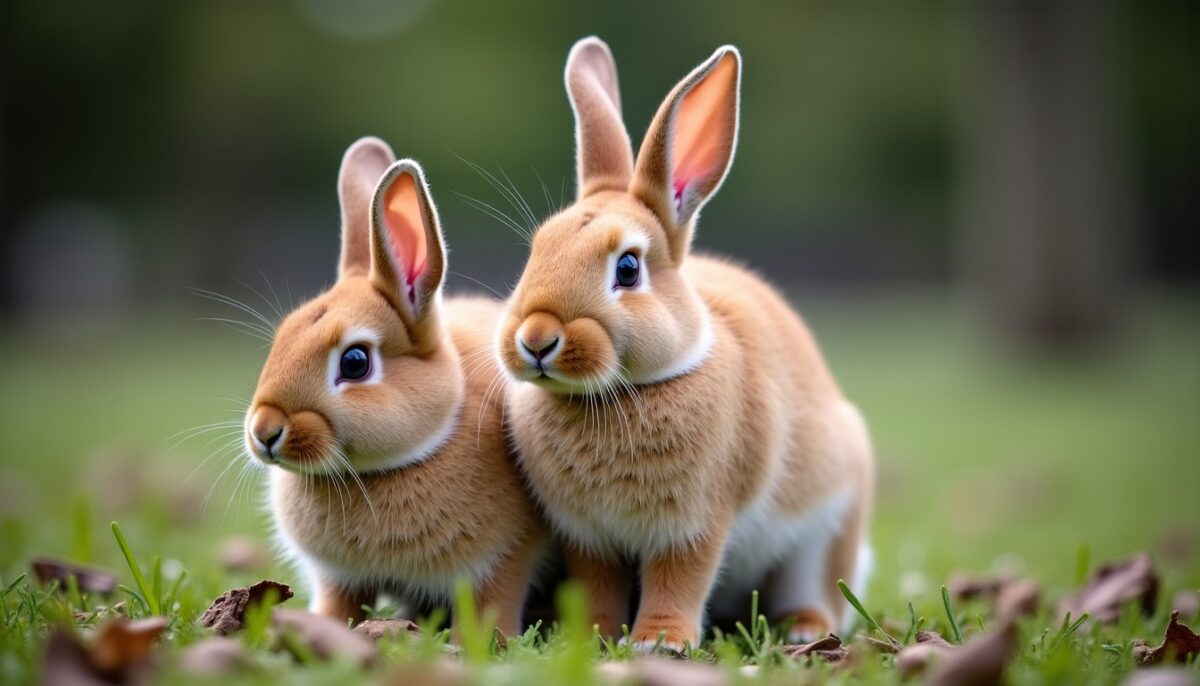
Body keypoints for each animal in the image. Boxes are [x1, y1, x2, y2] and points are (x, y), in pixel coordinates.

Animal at [242, 137, 546, 636]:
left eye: (355, 362)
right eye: (282, 338)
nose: (265, 432)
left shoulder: (507, 556)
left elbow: (496, 599)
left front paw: (484, 639)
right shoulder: (339, 578)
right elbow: (339, 603)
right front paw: (325, 624)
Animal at [495, 37, 875, 651]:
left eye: (627, 268)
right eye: (536, 251)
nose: (536, 340)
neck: (622, 391)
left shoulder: (695, 524)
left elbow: (680, 578)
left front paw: (659, 641)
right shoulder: (588, 537)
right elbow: (597, 584)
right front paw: (591, 635)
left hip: (826, 529)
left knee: (819, 587)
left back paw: (804, 628)